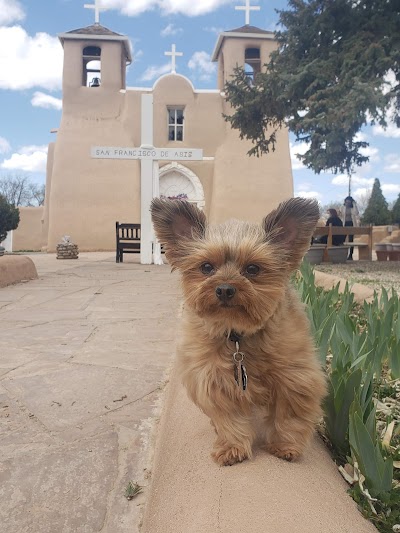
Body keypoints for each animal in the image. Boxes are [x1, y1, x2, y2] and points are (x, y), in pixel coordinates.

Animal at [152, 196, 326, 466]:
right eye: (206, 267)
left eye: (253, 269)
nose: (224, 289)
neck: (237, 335)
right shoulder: (215, 378)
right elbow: (229, 418)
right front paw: (233, 447)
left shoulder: (294, 376)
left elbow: (288, 416)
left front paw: (285, 445)